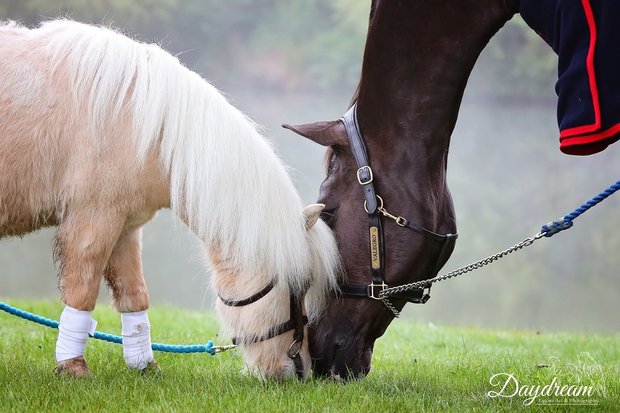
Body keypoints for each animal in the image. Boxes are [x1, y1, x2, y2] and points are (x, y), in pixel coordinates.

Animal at [0, 20, 340, 380]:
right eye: (299, 287)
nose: (300, 370)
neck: (144, 123)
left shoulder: (125, 227)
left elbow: (135, 295)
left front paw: (144, 365)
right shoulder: (92, 220)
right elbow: (82, 292)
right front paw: (73, 367)